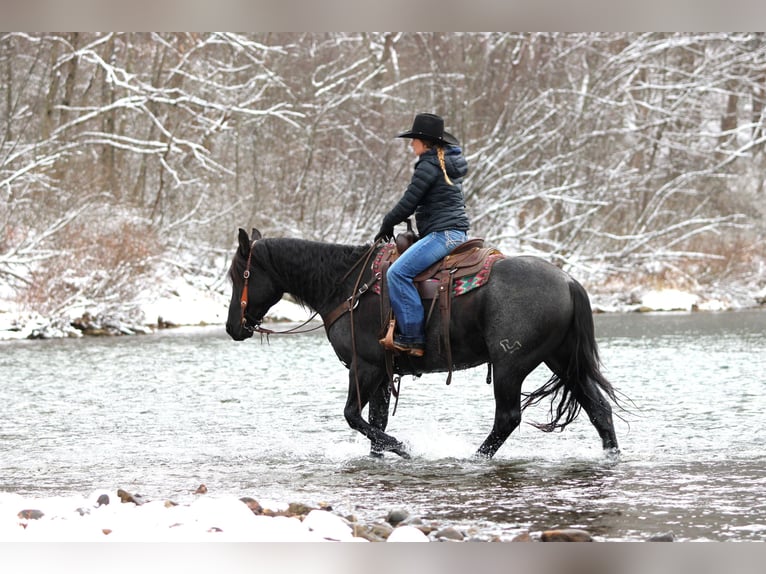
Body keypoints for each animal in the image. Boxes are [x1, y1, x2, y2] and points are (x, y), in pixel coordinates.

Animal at [226, 227, 620, 460]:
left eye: (237, 275)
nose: (232, 327)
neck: (346, 285)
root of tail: (569, 281)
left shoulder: (365, 366)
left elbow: (353, 416)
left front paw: (405, 449)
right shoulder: (383, 372)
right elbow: (376, 422)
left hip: (510, 365)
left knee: (507, 418)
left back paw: (473, 458)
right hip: (560, 359)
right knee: (599, 409)